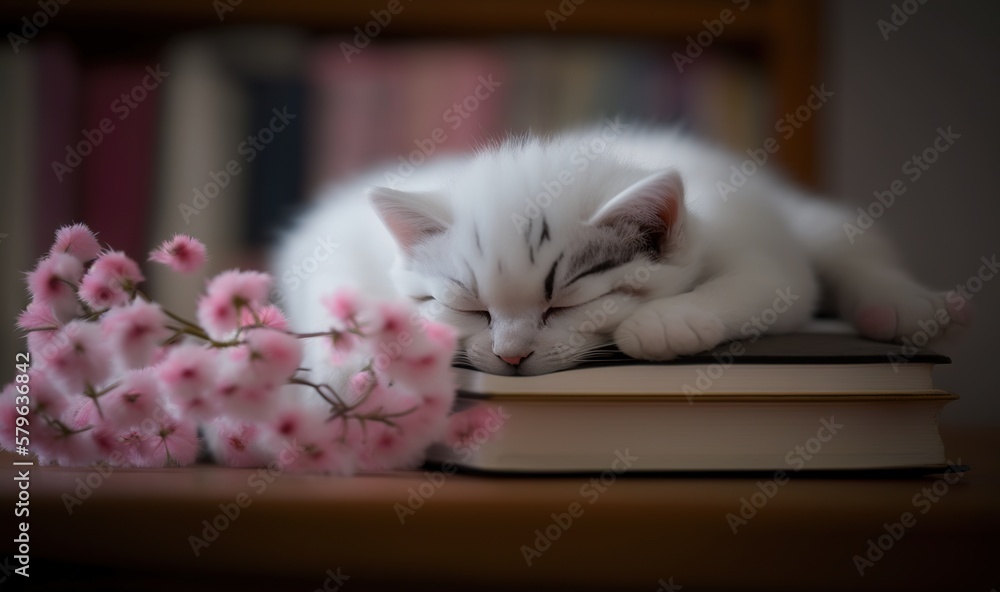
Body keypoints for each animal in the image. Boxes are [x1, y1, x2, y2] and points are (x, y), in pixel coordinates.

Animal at [276, 125, 968, 376]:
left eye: (564, 306)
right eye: (471, 309)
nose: (512, 354)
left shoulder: (756, 245)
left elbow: (763, 283)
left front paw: (665, 324)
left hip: (804, 220)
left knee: (849, 246)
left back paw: (903, 306)